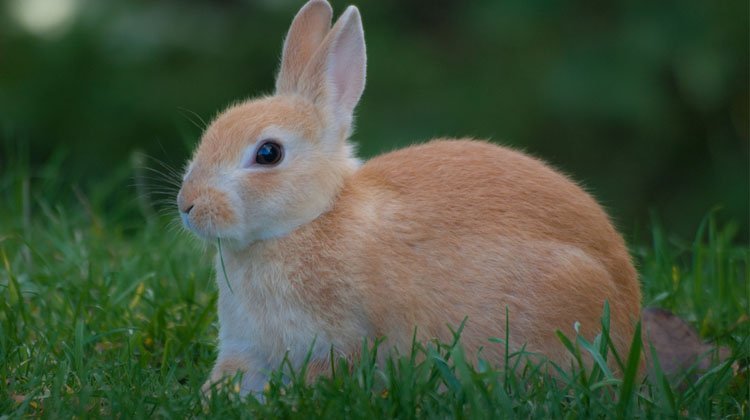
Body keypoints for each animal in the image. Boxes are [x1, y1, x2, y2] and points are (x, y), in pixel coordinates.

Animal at [175, 0, 640, 396]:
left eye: (268, 153)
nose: (188, 205)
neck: (310, 219)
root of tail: (630, 313)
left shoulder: (338, 341)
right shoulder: (247, 348)